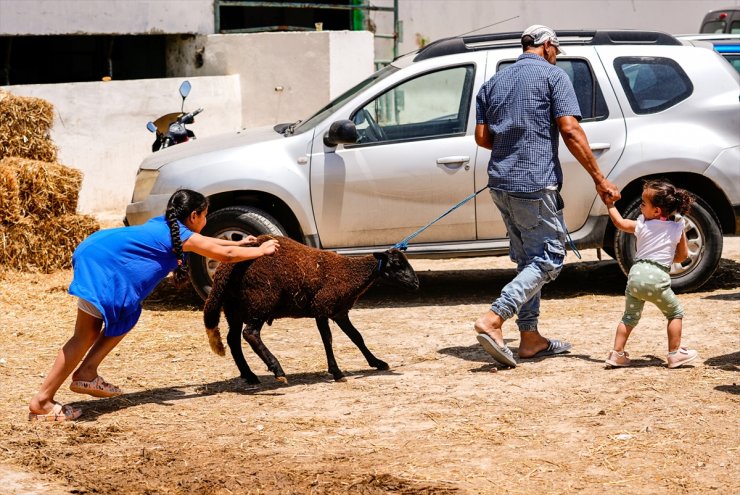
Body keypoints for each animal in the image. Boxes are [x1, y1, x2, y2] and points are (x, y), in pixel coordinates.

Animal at [202, 235, 420, 384]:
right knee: (250, 334)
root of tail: (223, 271)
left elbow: (357, 337)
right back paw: (277, 370)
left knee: (233, 339)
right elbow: (328, 340)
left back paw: (250, 375)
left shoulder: (339, 311)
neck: (352, 274)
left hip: (234, 308)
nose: (416, 284)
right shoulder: (321, 307)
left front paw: (377, 362)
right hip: (260, 301)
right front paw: (337, 372)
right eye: (397, 264)